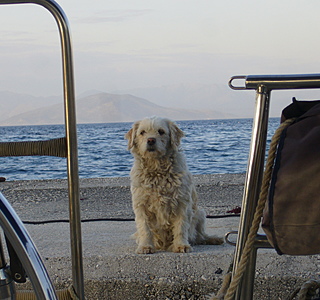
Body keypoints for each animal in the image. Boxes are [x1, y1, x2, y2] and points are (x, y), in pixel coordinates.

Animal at [125, 116, 222, 253]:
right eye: (142, 132)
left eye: (161, 131)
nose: (151, 140)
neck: (157, 169)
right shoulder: (141, 204)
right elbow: (145, 228)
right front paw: (145, 246)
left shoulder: (182, 202)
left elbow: (180, 227)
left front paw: (181, 245)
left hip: (200, 214)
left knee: (200, 236)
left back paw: (213, 239)